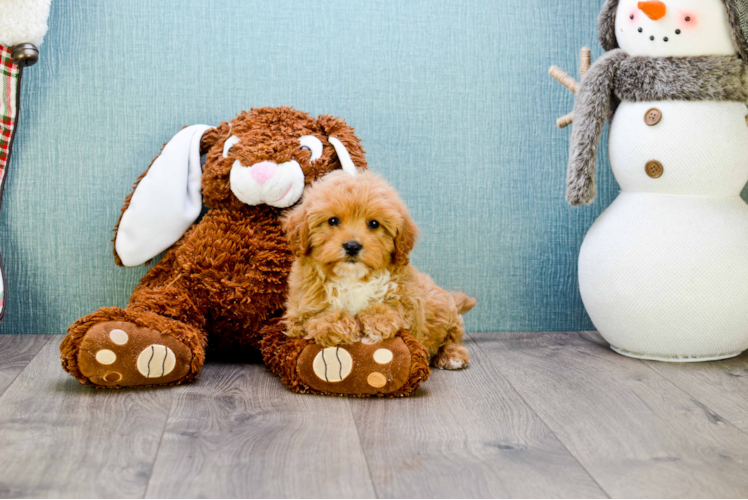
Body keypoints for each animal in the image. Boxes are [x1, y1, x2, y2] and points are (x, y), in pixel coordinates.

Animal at [284, 170, 476, 370]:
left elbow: (395, 306)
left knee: (453, 335)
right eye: (333, 221)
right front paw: (337, 324)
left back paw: (451, 354)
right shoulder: (297, 312)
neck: (353, 277)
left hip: (442, 309)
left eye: (374, 224)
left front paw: (379, 319)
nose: (352, 246)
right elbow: (314, 317)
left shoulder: (411, 301)